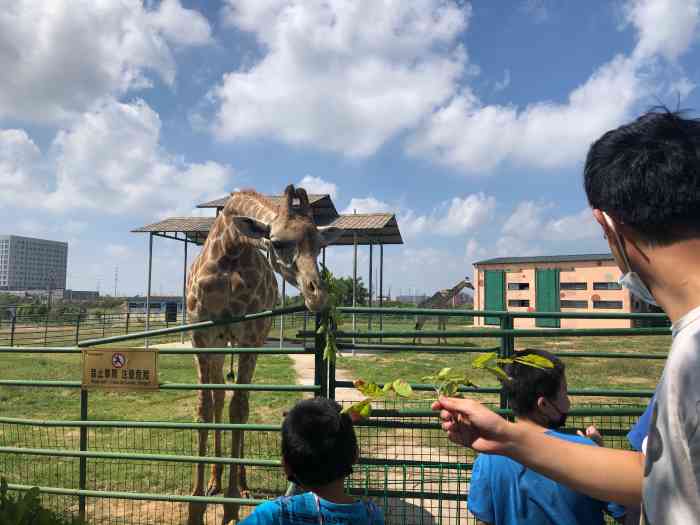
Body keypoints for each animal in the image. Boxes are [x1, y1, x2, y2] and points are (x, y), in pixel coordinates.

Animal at [185, 184, 340, 524]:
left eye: (320, 246)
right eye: (278, 243)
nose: (318, 296)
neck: (231, 248)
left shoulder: (250, 335)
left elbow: (239, 411)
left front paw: (230, 507)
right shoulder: (201, 336)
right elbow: (204, 409)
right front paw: (196, 506)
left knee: (238, 402)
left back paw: (240, 484)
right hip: (219, 344)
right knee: (219, 398)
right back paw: (215, 480)